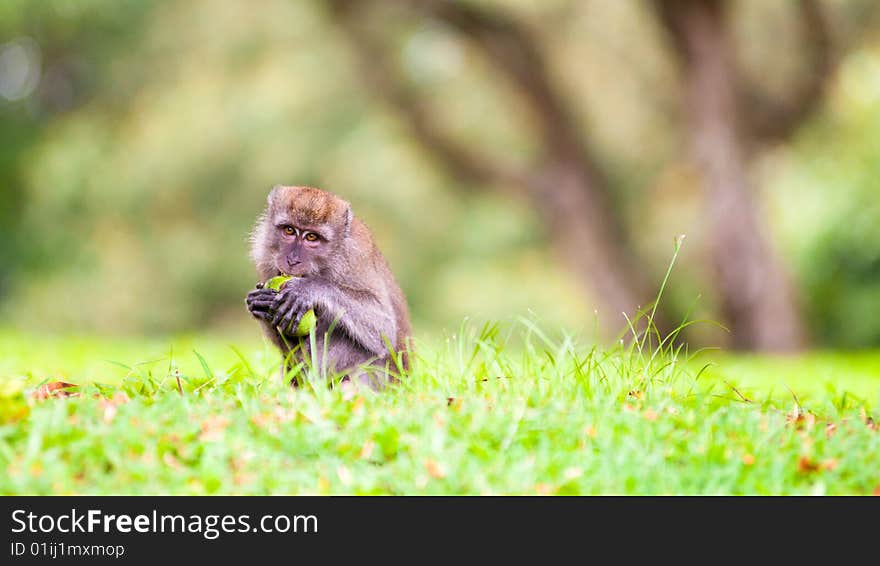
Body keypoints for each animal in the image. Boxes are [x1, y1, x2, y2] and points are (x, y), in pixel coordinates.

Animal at [244, 184, 412, 388]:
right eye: (289, 230)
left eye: (311, 237)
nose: (292, 260)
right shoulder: (266, 262)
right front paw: (259, 303)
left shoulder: (356, 256)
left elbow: (384, 328)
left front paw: (310, 288)